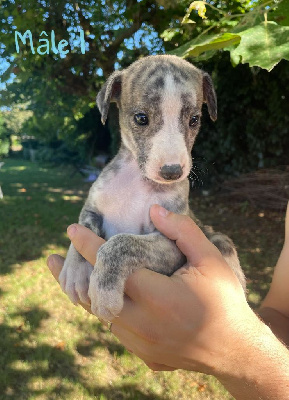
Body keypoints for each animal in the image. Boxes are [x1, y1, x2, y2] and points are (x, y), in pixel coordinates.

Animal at [59, 54, 245, 320]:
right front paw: (75, 271)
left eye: (194, 120)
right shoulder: (92, 208)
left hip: (218, 239)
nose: (172, 172)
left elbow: (121, 244)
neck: (137, 181)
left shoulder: (171, 245)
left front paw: (104, 292)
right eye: (141, 118)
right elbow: (82, 228)